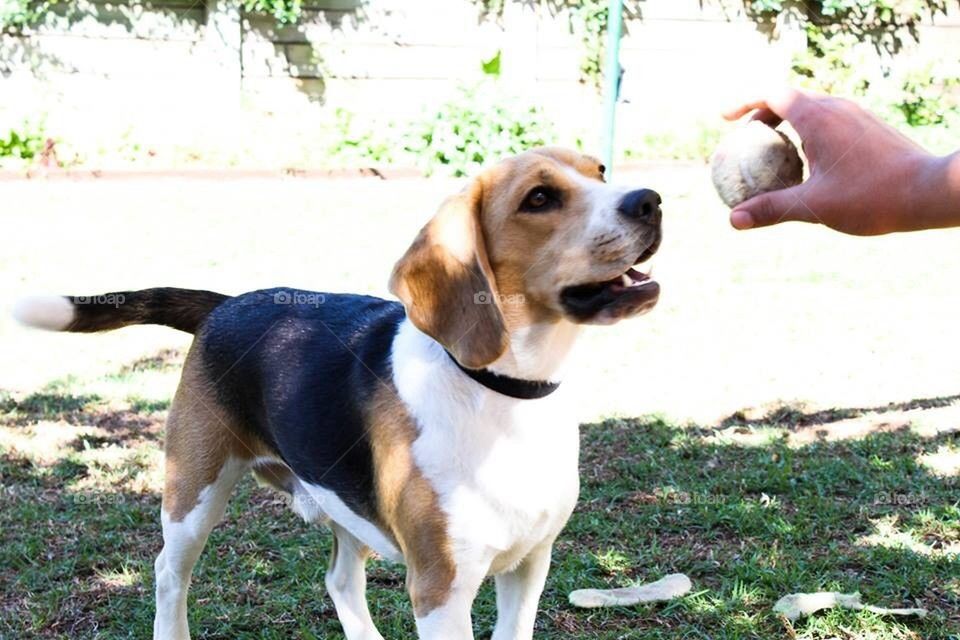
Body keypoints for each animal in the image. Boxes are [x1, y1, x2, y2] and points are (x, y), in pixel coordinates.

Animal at [15, 148, 660, 636]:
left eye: (601, 170)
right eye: (539, 199)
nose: (650, 200)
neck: (503, 392)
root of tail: (226, 304)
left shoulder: (529, 565)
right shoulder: (441, 590)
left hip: (341, 501)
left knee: (341, 580)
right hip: (193, 495)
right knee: (169, 575)